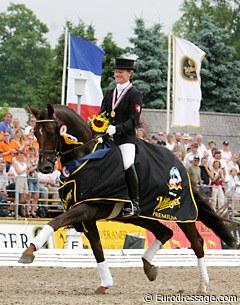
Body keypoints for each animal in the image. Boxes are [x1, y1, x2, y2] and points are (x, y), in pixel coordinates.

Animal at [18, 104, 234, 292]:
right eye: (35, 134)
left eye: (50, 131)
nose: (45, 167)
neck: (84, 157)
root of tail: (180, 165)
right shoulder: (88, 218)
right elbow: (97, 249)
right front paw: (105, 284)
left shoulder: (87, 208)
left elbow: (55, 222)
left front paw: (29, 251)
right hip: (142, 216)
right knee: (165, 232)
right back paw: (149, 267)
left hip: (181, 214)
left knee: (196, 242)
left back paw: (203, 285)